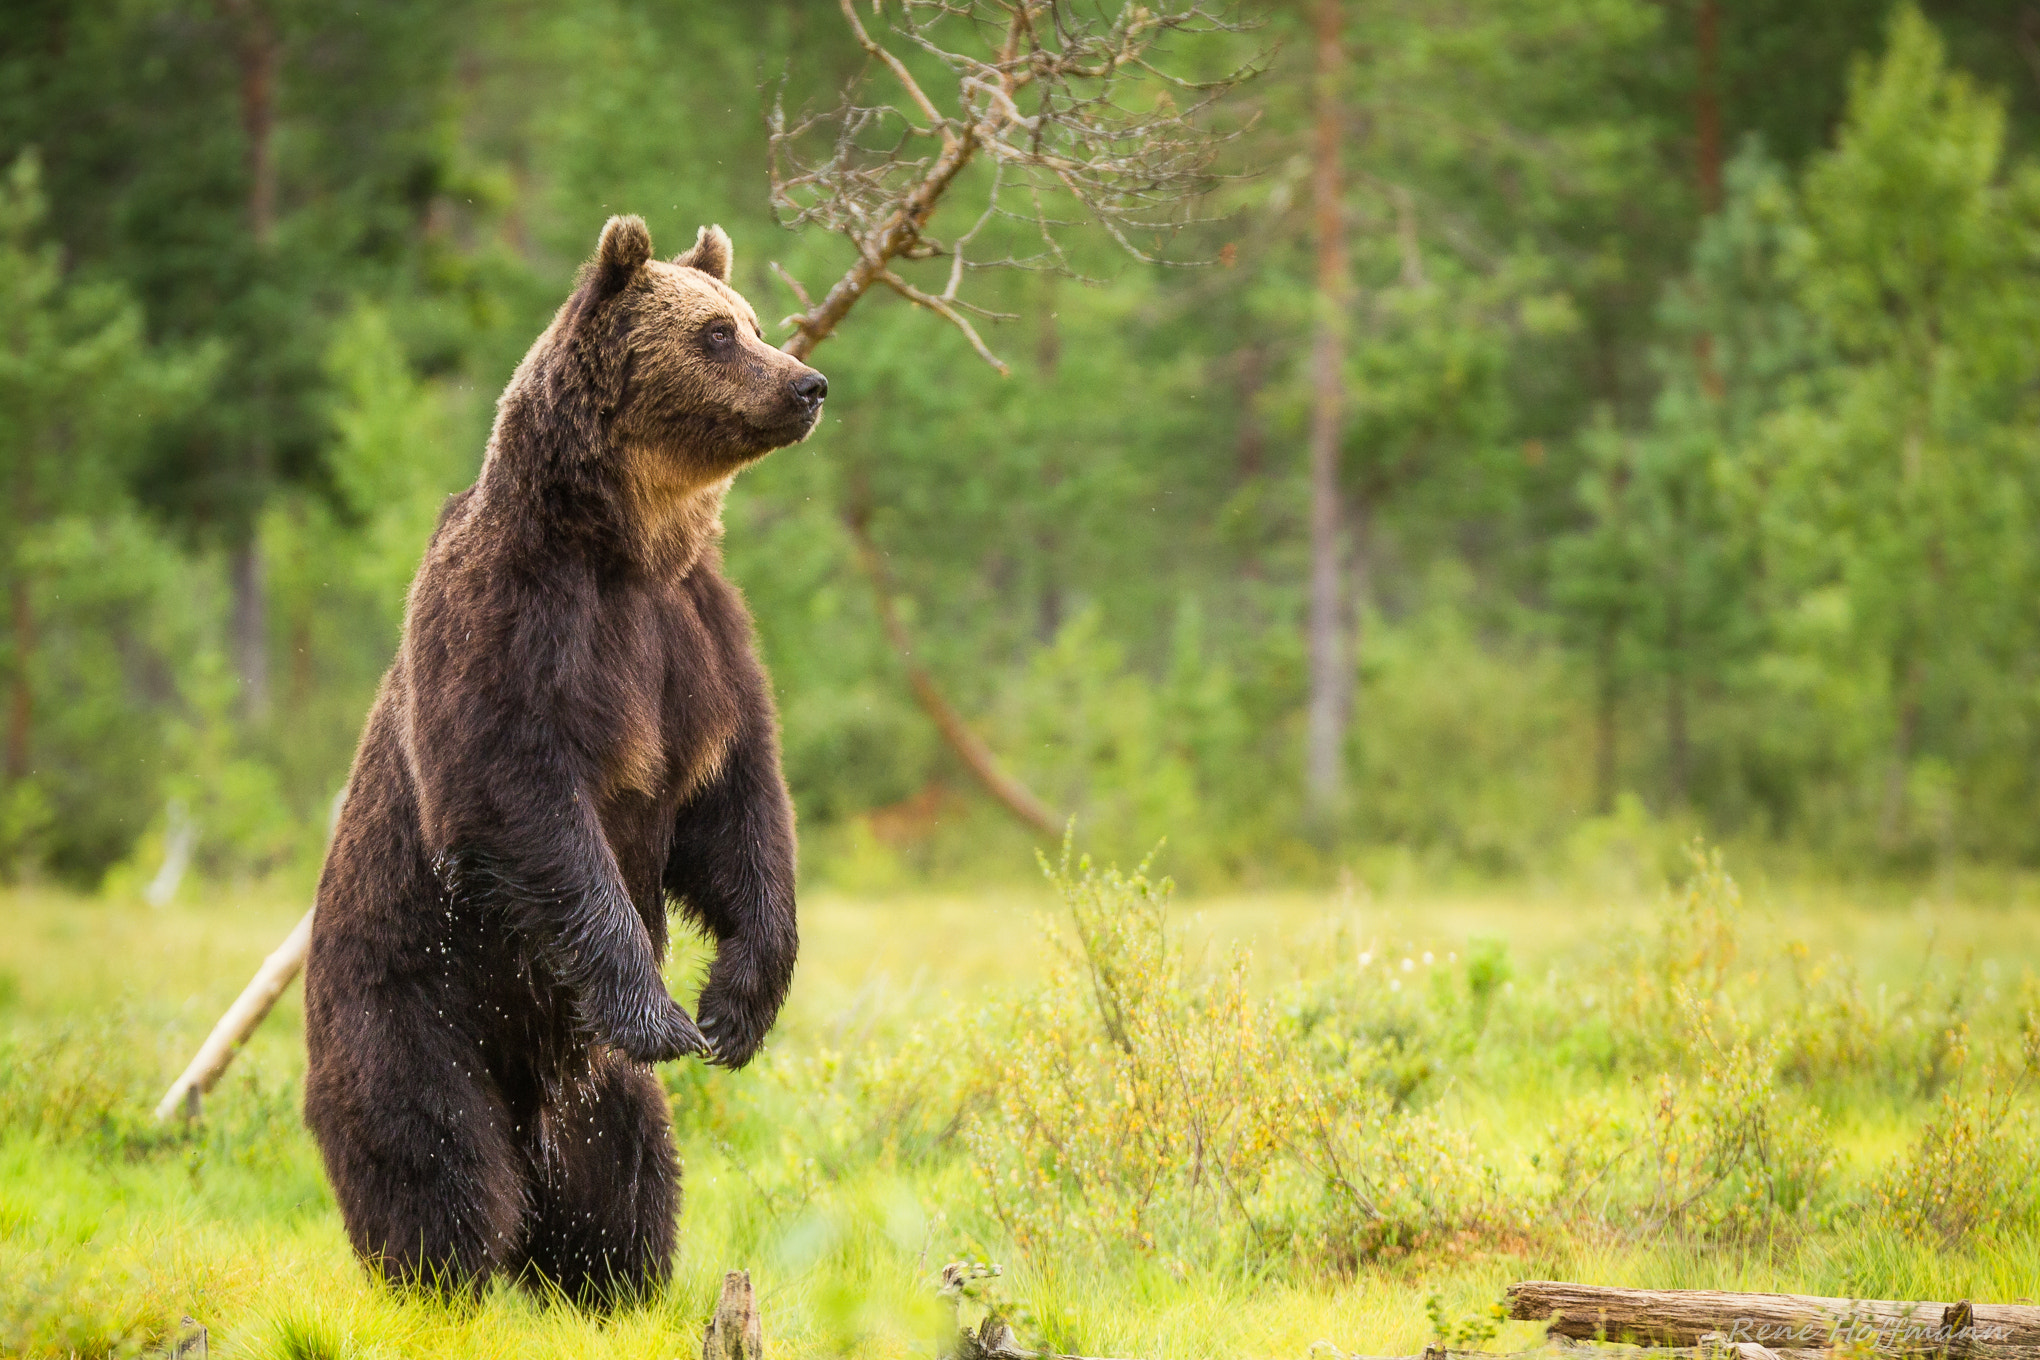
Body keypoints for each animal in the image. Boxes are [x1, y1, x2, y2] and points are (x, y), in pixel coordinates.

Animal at [297, 215, 824, 1304]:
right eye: (718, 335)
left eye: (753, 322)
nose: (808, 383)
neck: (628, 546)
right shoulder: (510, 621)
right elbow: (521, 799)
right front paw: (664, 1015)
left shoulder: (695, 639)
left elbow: (738, 807)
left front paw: (732, 1011)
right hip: (408, 1004)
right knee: (434, 1157)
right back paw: (443, 1277)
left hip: (591, 1090)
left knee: (626, 1176)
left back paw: (613, 1281)